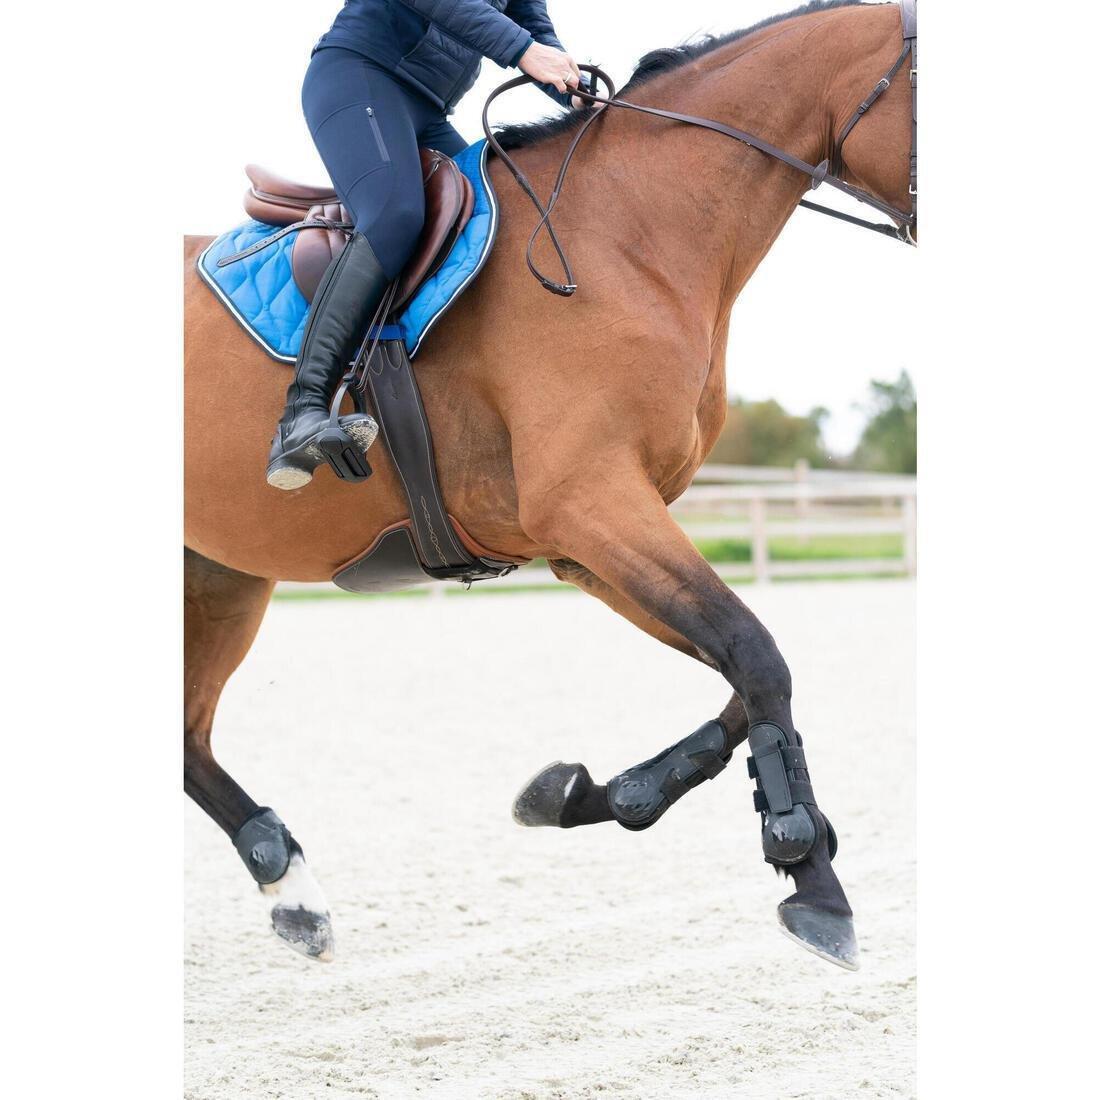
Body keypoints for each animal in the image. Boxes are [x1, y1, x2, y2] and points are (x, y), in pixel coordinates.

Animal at [184, 0, 915, 969]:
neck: (633, 236)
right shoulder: (593, 504)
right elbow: (756, 654)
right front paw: (810, 874)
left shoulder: (586, 538)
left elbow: (743, 674)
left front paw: (595, 794)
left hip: (217, 573)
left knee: (186, 735)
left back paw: (291, 888)